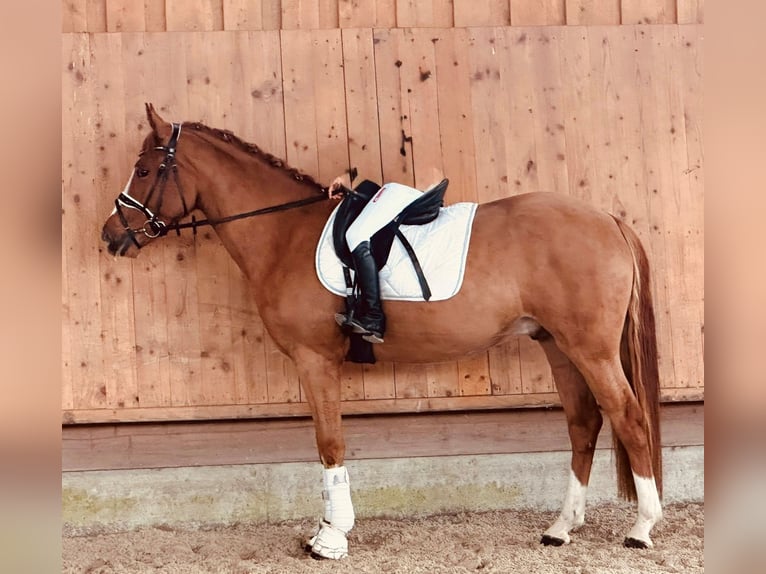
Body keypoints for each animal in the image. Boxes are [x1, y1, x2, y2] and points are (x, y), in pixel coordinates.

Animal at [101, 104, 663, 559]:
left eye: (145, 169)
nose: (110, 235)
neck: (285, 235)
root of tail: (608, 219)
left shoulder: (316, 360)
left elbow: (330, 442)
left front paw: (330, 539)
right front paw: (326, 530)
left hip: (590, 349)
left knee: (629, 418)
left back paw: (641, 528)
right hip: (558, 346)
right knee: (584, 423)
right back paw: (561, 528)